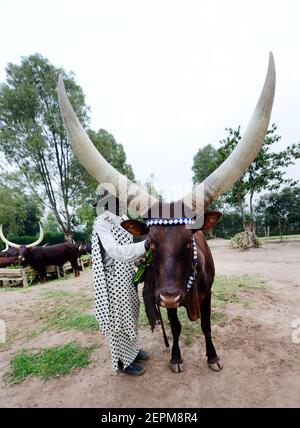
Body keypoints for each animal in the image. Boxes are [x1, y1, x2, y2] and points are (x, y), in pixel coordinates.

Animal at [57, 52, 276, 372]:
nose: (171, 295)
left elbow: (207, 326)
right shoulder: (165, 301)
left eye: (189, 241)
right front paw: (175, 357)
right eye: (150, 243)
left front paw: (212, 357)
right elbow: (175, 327)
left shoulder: (207, 295)